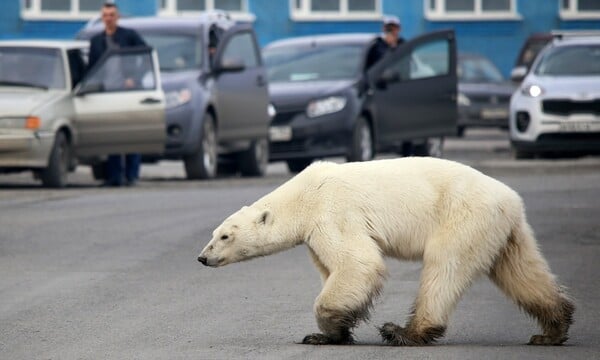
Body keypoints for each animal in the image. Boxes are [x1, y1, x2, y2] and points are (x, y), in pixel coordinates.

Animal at [197, 157, 572, 346]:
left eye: (225, 236)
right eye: (214, 234)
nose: (202, 257)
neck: (302, 195)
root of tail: (511, 199)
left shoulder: (332, 213)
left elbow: (357, 263)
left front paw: (327, 328)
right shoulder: (315, 232)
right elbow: (333, 269)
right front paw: (329, 333)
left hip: (463, 216)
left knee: (444, 267)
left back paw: (405, 331)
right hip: (503, 230)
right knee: (521, 271)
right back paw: (552, 329)